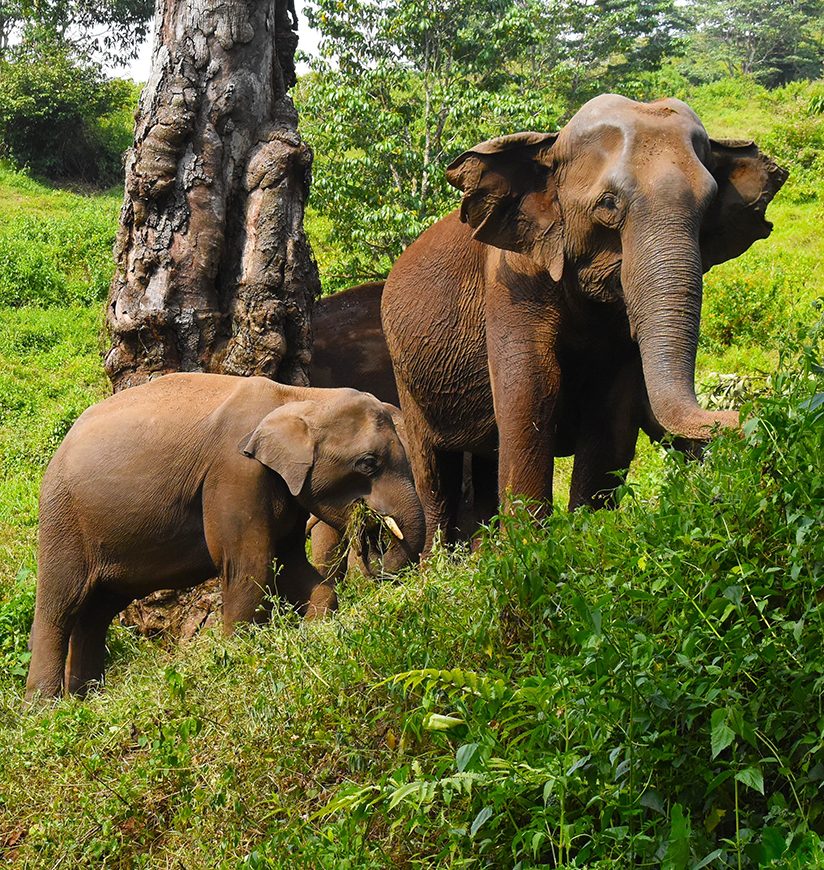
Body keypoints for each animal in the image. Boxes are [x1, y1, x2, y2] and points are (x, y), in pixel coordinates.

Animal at [25, 374, 424, 700]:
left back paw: (87, 700)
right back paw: (46, 710)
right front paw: (237, 657)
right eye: (368, 463)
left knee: (96, 612)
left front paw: (314, 629)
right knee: (60, 607)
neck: (299, 397)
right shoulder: (236, 472)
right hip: (63, 520)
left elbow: (289, 564)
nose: (374, 545)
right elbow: (250, 567)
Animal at [384, 93, 788, 552]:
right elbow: (531, 391)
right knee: (435, 473)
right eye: (608, 205)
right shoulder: (510, 281)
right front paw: (529, 552)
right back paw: (440, 560)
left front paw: (584, 539)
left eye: (708, 209)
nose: (748, 415)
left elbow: (614, 407)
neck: (550, 145)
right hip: (405, 376)